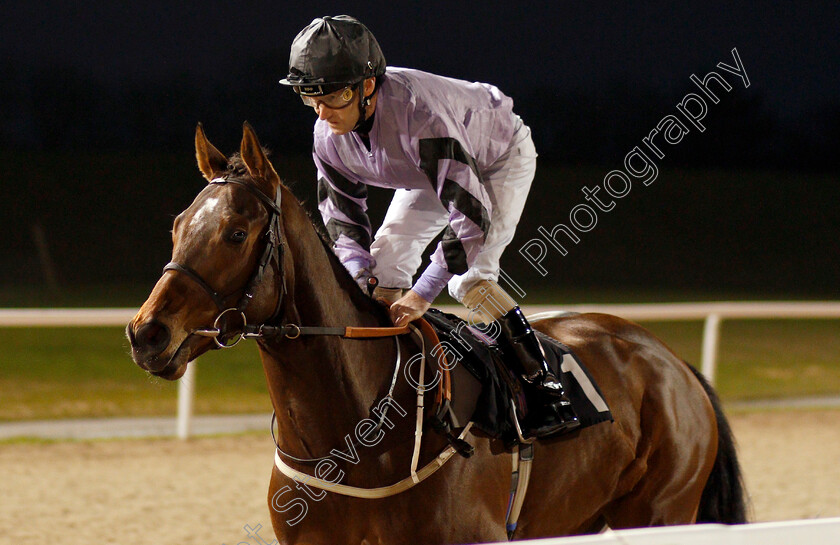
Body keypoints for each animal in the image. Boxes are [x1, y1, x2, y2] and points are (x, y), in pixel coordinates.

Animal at [128, 123, 744, 544]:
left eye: (235, 233)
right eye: (178, 226)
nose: (146, 333)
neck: (355, 434)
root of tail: (674, 363)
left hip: (662, 510)